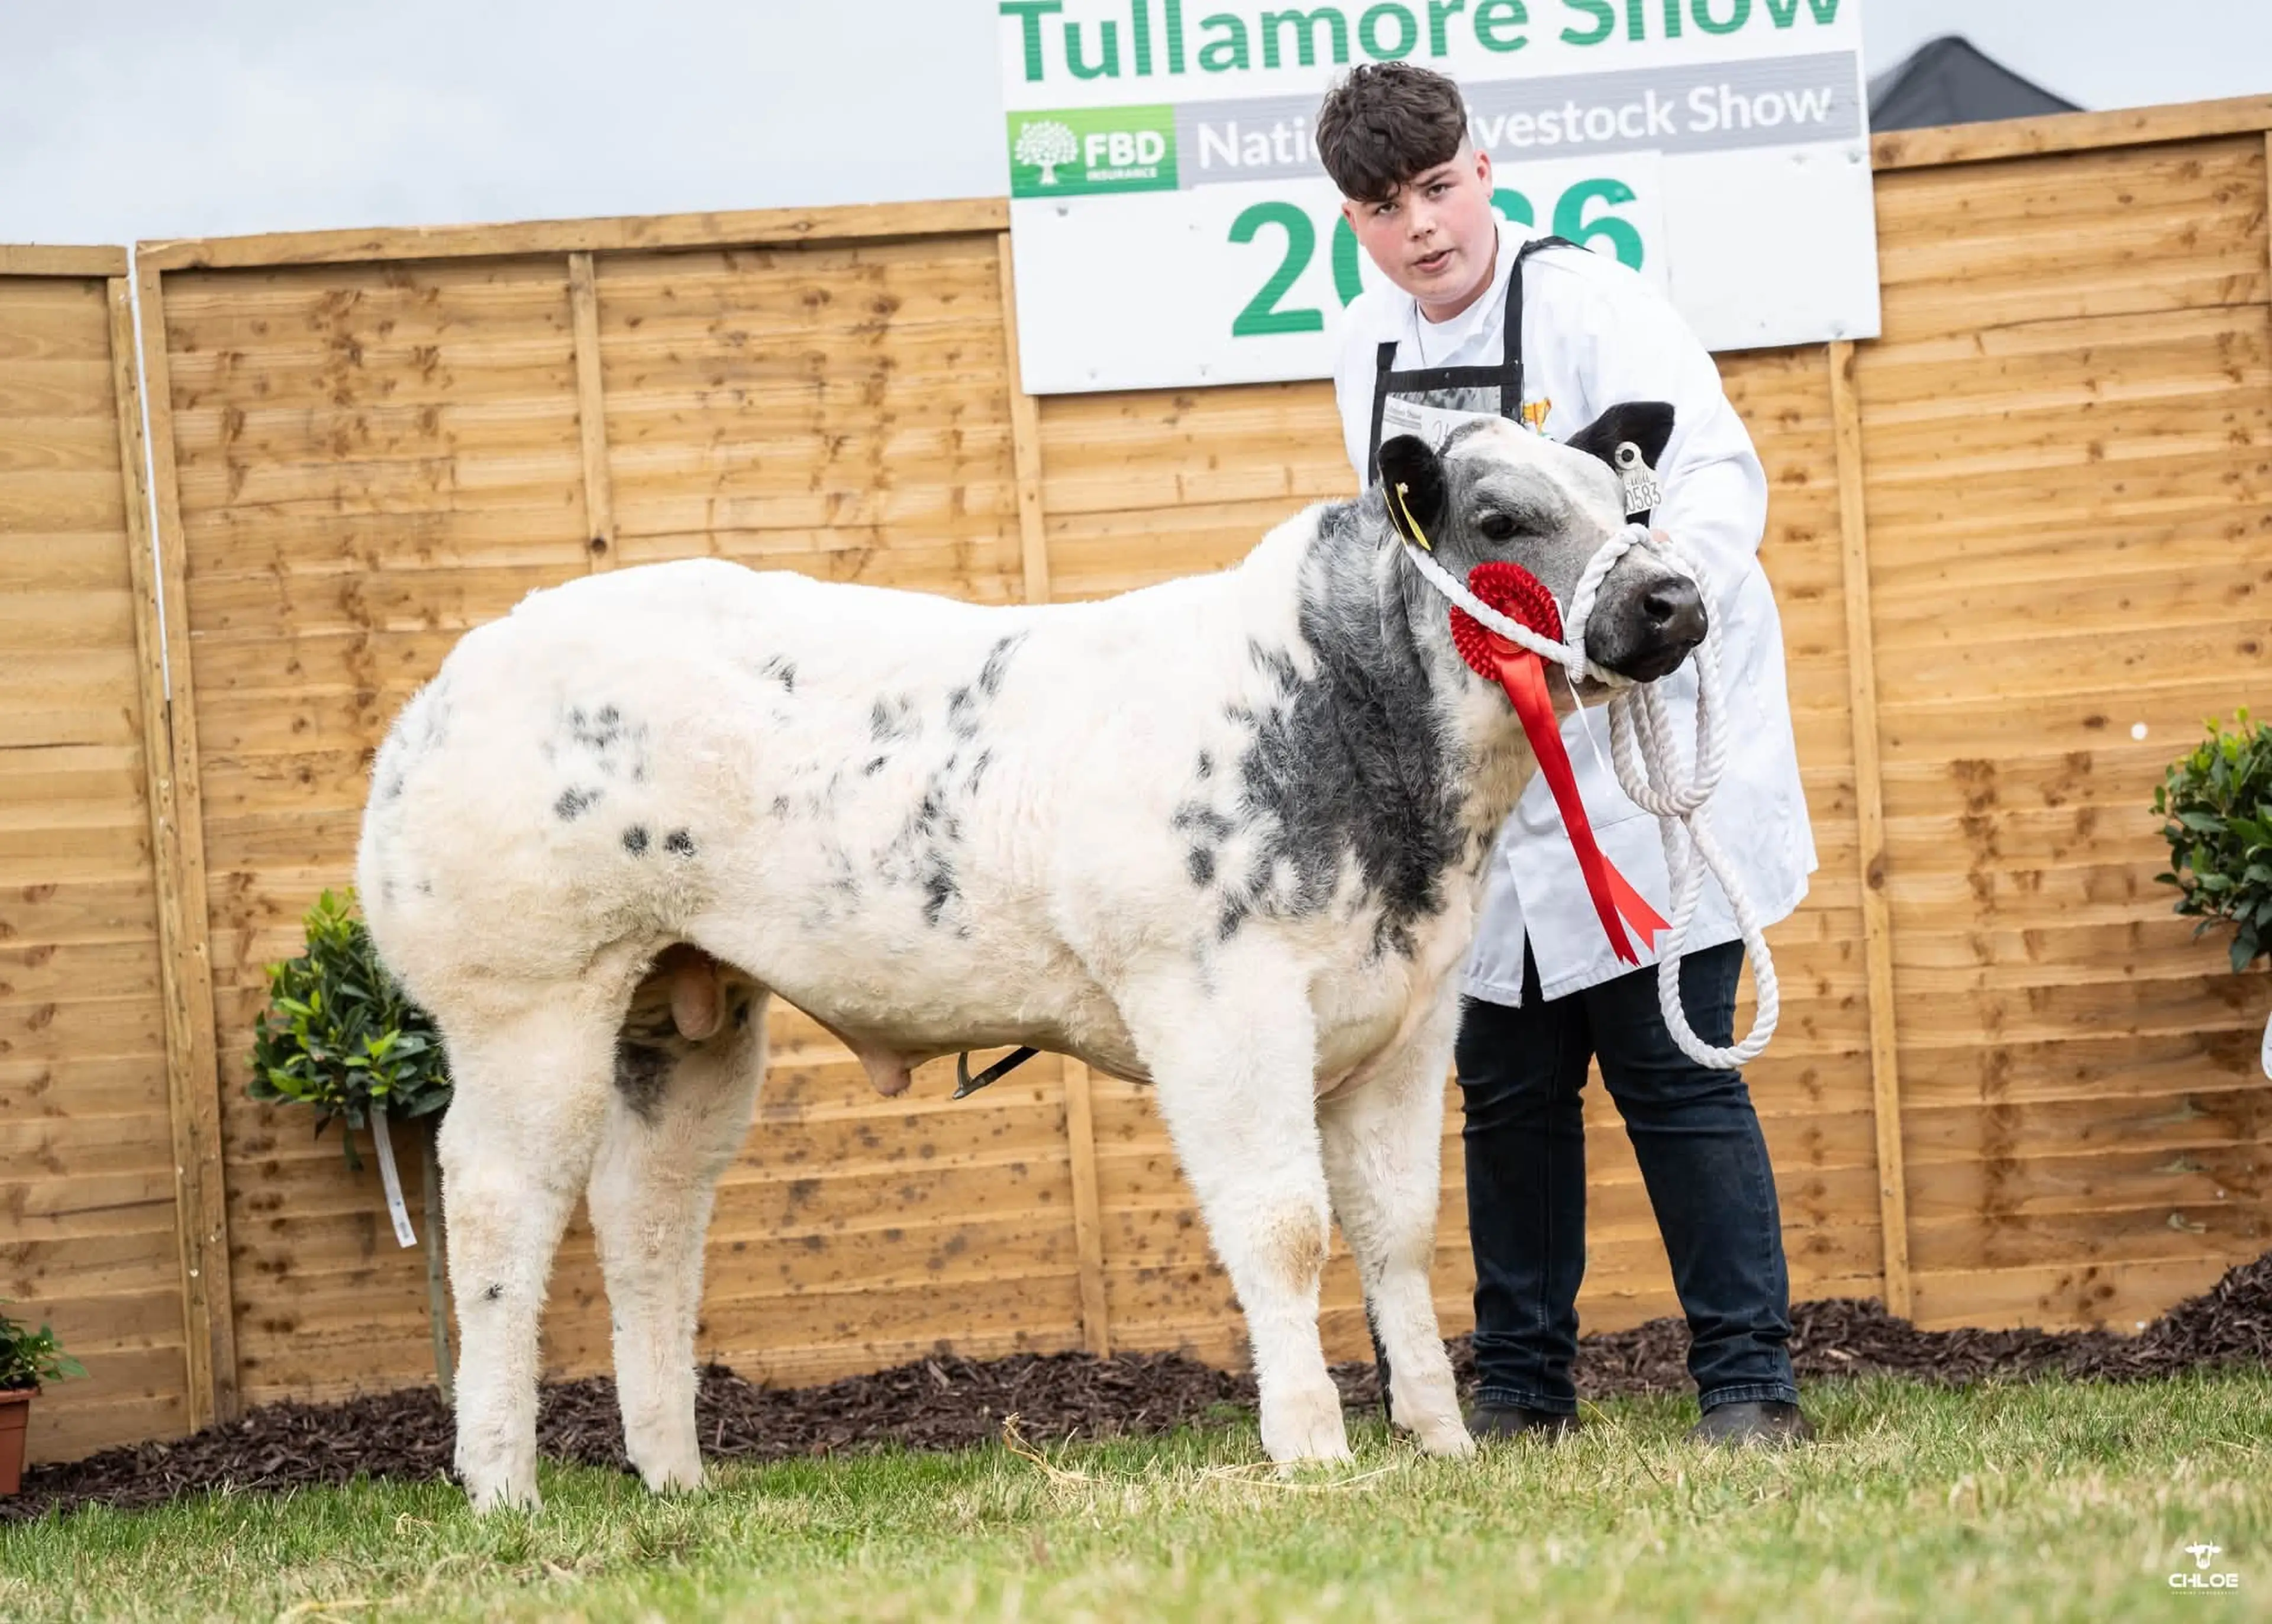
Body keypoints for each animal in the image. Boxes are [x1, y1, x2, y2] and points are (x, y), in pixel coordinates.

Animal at [354, 406, 1704, 1511]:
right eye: (1502, 518)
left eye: (1626, 499)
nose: (1675, 598)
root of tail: (441, 696)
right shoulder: (1220, 999)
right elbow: (1281, 1224)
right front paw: (1314, 1445)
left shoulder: (1410, 1020)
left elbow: (1402, 1231)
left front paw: (1439, 1436)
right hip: (530, 995)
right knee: (498, 1203)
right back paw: (501, 1484)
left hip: (687, 1010)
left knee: (649, 1217)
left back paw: (675, 1472)